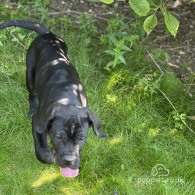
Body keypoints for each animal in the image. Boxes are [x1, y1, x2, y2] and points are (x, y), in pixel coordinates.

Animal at [0, 19, 106, 170]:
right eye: (58, 136)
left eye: (81, 138)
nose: (69, 160)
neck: (67, 98)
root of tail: (48, 34)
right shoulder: (38, 122)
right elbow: (41, 149)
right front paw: (49, 157)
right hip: (30, 73)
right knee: (32, 94)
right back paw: (31, 109)